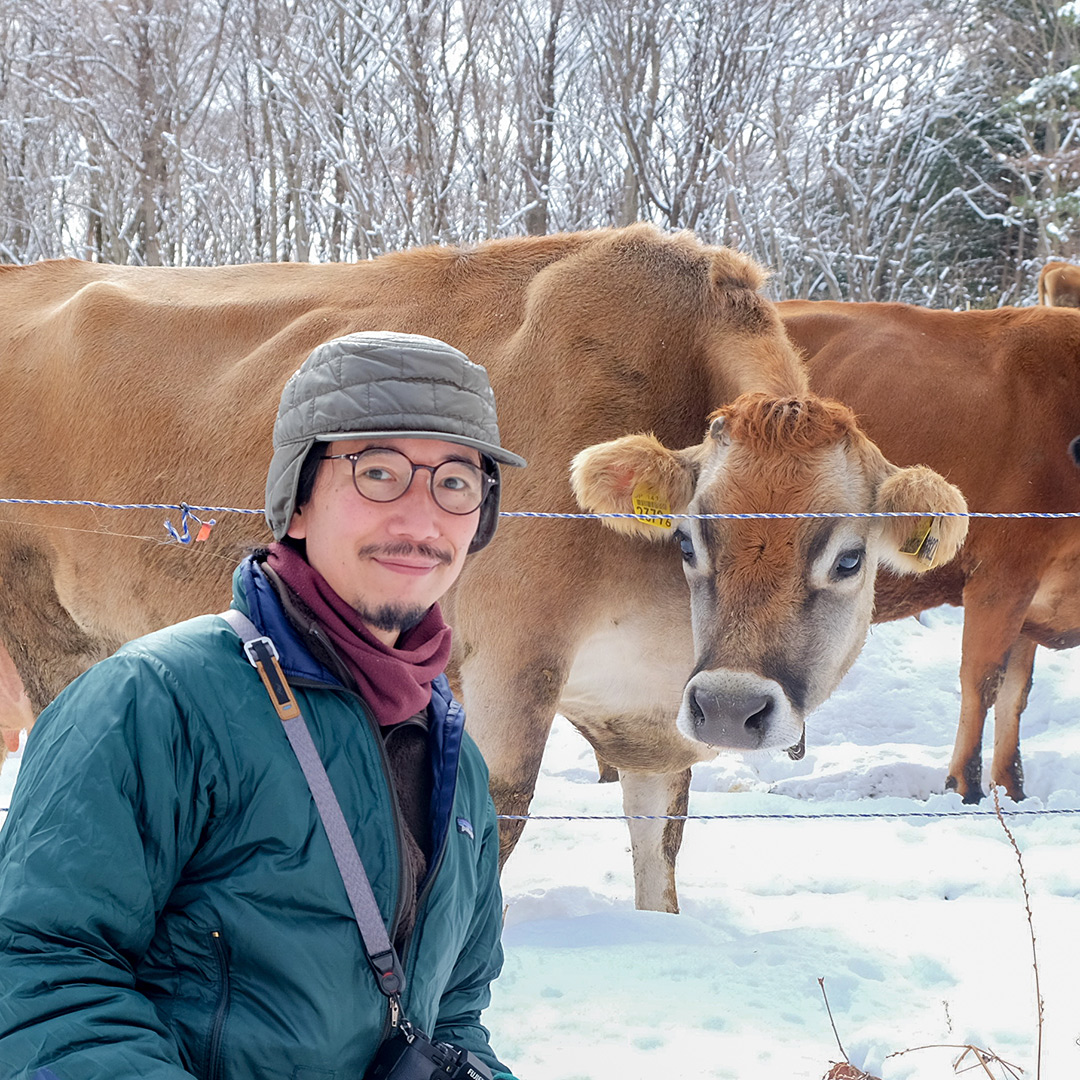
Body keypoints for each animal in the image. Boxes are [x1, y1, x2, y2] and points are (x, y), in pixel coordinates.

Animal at [0, 227, 963, 911]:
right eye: (692, 538)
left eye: (848, 556)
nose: (733, 706)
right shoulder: (512, 663)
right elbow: (496, 818)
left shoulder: (651, 716)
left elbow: (661, 855)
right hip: (41, 615)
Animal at [777, 300, 1080, 807]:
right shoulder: (1002, 578)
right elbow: (984, 681)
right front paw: (965, 786)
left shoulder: (1033, 598)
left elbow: (1017, 694)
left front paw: (1012, 790)